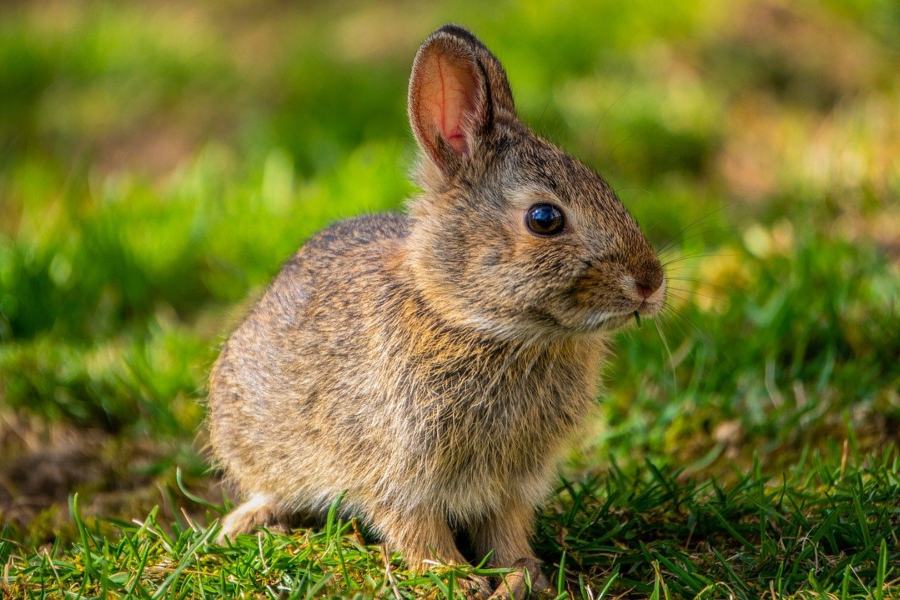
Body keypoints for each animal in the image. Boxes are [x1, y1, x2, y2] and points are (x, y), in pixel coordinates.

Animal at [207, 24, 664, 600]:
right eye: (544, 218)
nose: (650, 283)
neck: (471, 322)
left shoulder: (509, 484)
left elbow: (506, 529)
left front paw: (523, 576)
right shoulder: (396, 471)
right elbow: (414, 528)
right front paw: (455, 577)